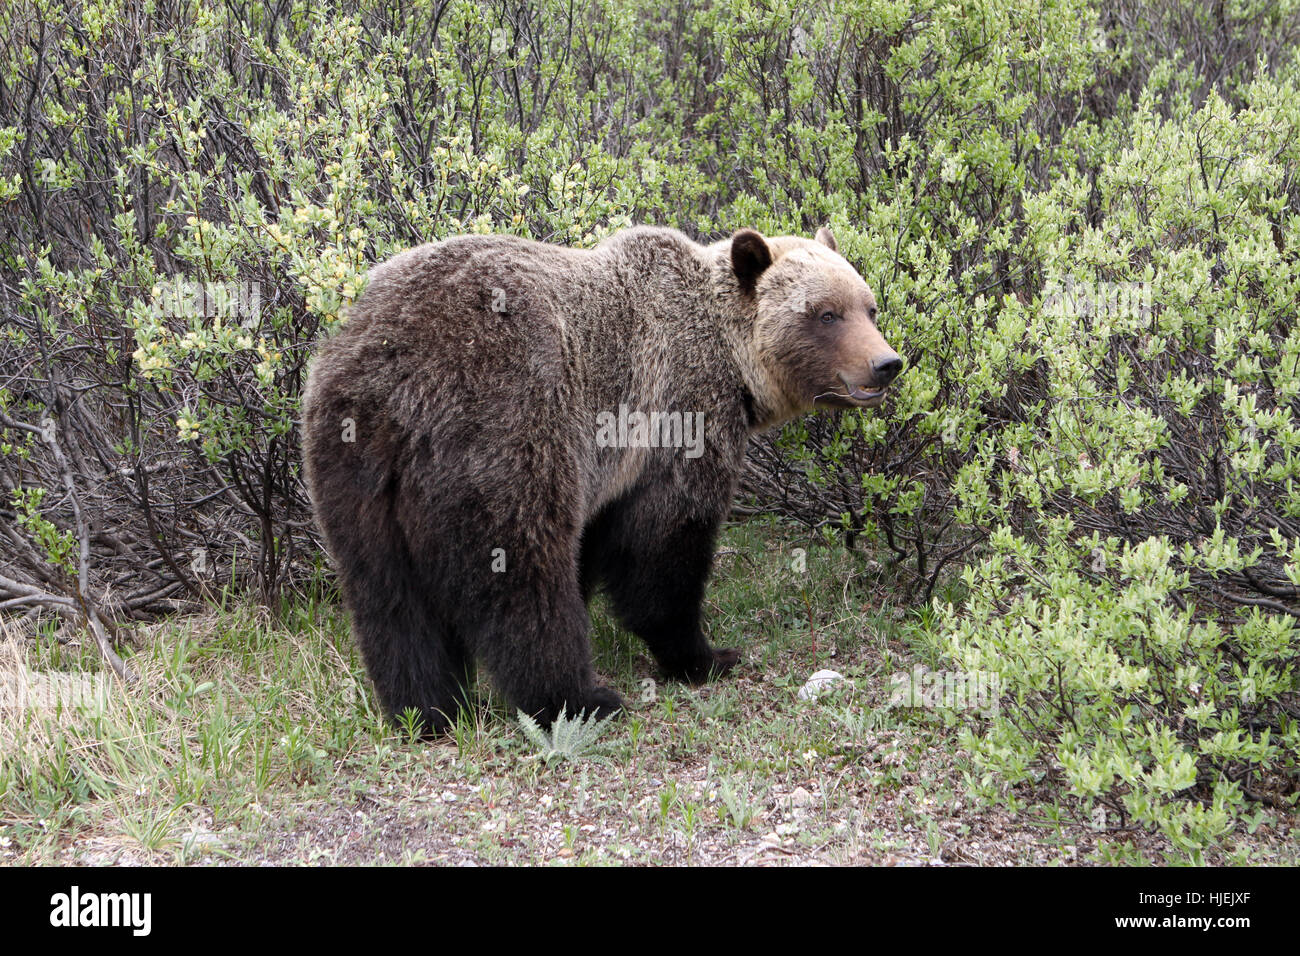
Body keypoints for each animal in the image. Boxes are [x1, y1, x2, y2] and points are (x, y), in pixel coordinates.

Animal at [301, 224, 901, 734]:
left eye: (868, 306)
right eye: (825, 313)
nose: (886, 363)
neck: (733, 364)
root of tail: (396, 376)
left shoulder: (613, 472)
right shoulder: (676, 416)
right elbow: (664, 547)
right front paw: (704, 655)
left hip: (351, 466)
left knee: (387, 597)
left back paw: (426, 710)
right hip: (507, 424)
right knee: (522, 575)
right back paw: (578, 698)